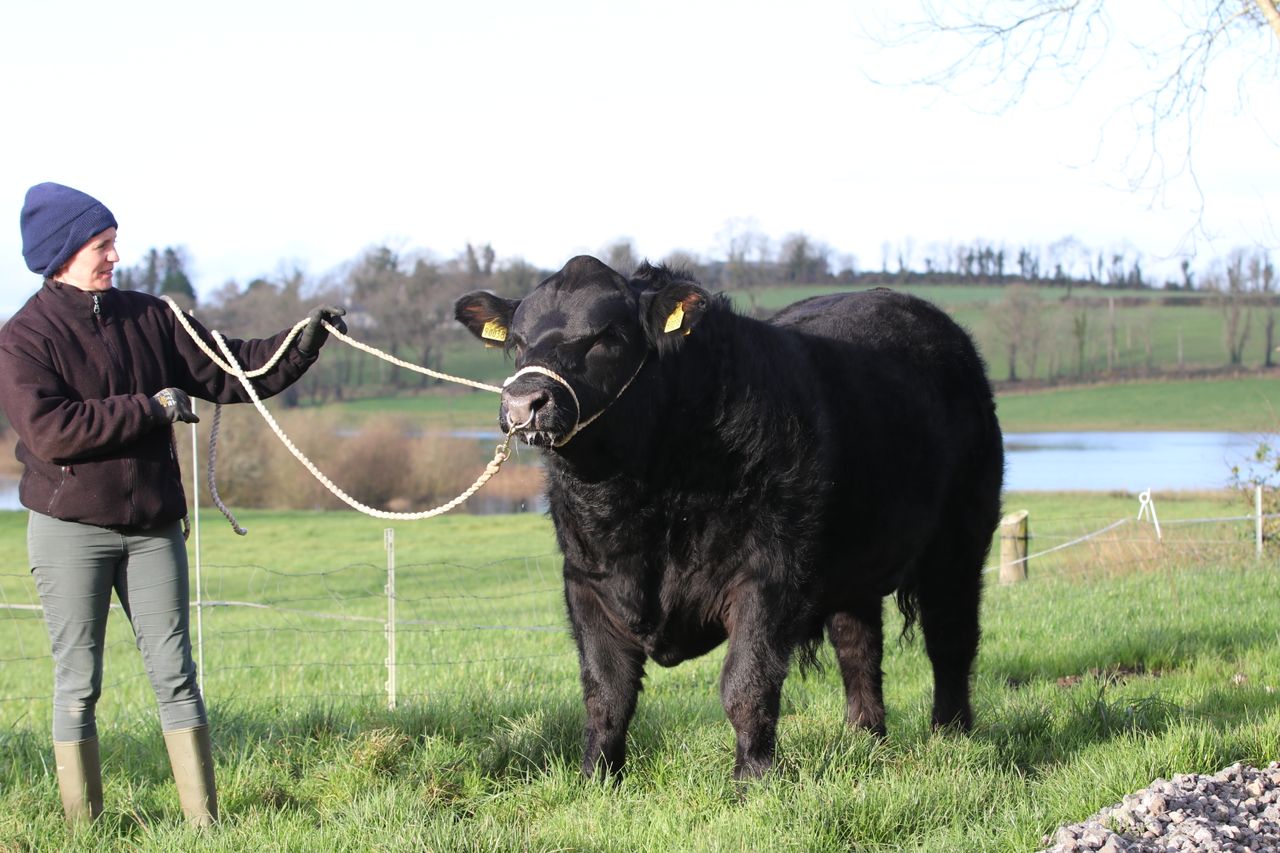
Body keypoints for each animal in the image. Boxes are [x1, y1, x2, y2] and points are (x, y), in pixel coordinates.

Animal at [455, 255, 1003, 781]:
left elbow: (747, 683)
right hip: (855, 564)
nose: (524, 401)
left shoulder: (768, 577)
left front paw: (752, 781)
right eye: (518, 342)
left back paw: (952, 735)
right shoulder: (586, 582)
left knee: (951, 638)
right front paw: (597, 779)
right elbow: (606, 693)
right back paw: (864, 736)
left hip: (961, 540)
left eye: (606, 336)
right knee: (859, 645)